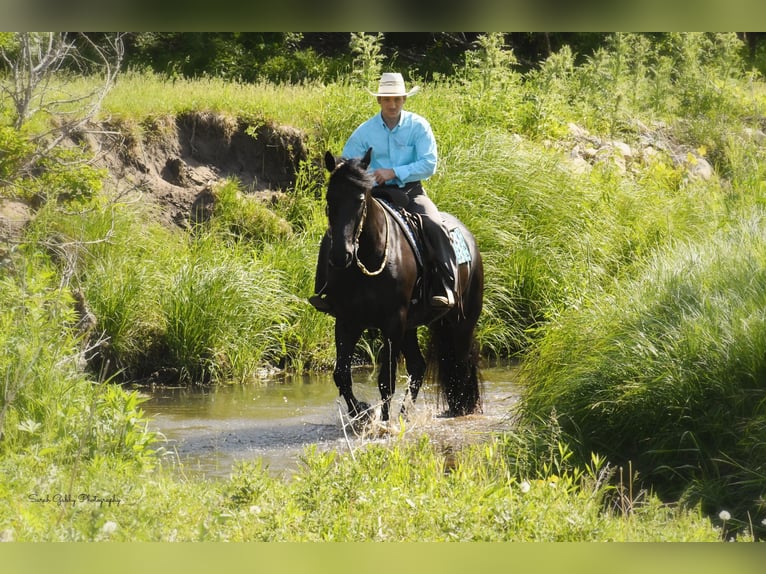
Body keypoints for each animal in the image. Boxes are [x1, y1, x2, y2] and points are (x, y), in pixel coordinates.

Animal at [316, 148, 484, 424]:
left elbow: (386, 380)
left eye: (359, 199)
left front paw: (383, 424)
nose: (341, 255)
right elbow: (341, 375)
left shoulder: (393, 321)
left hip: (461, 322)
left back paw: (460, 409)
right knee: (419, 366)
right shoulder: (347, 320)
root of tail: (469, 238)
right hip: (412, 326)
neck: (369, 258)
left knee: (460, 365)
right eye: (330, 198)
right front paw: (362, 413)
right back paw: (406, 414)